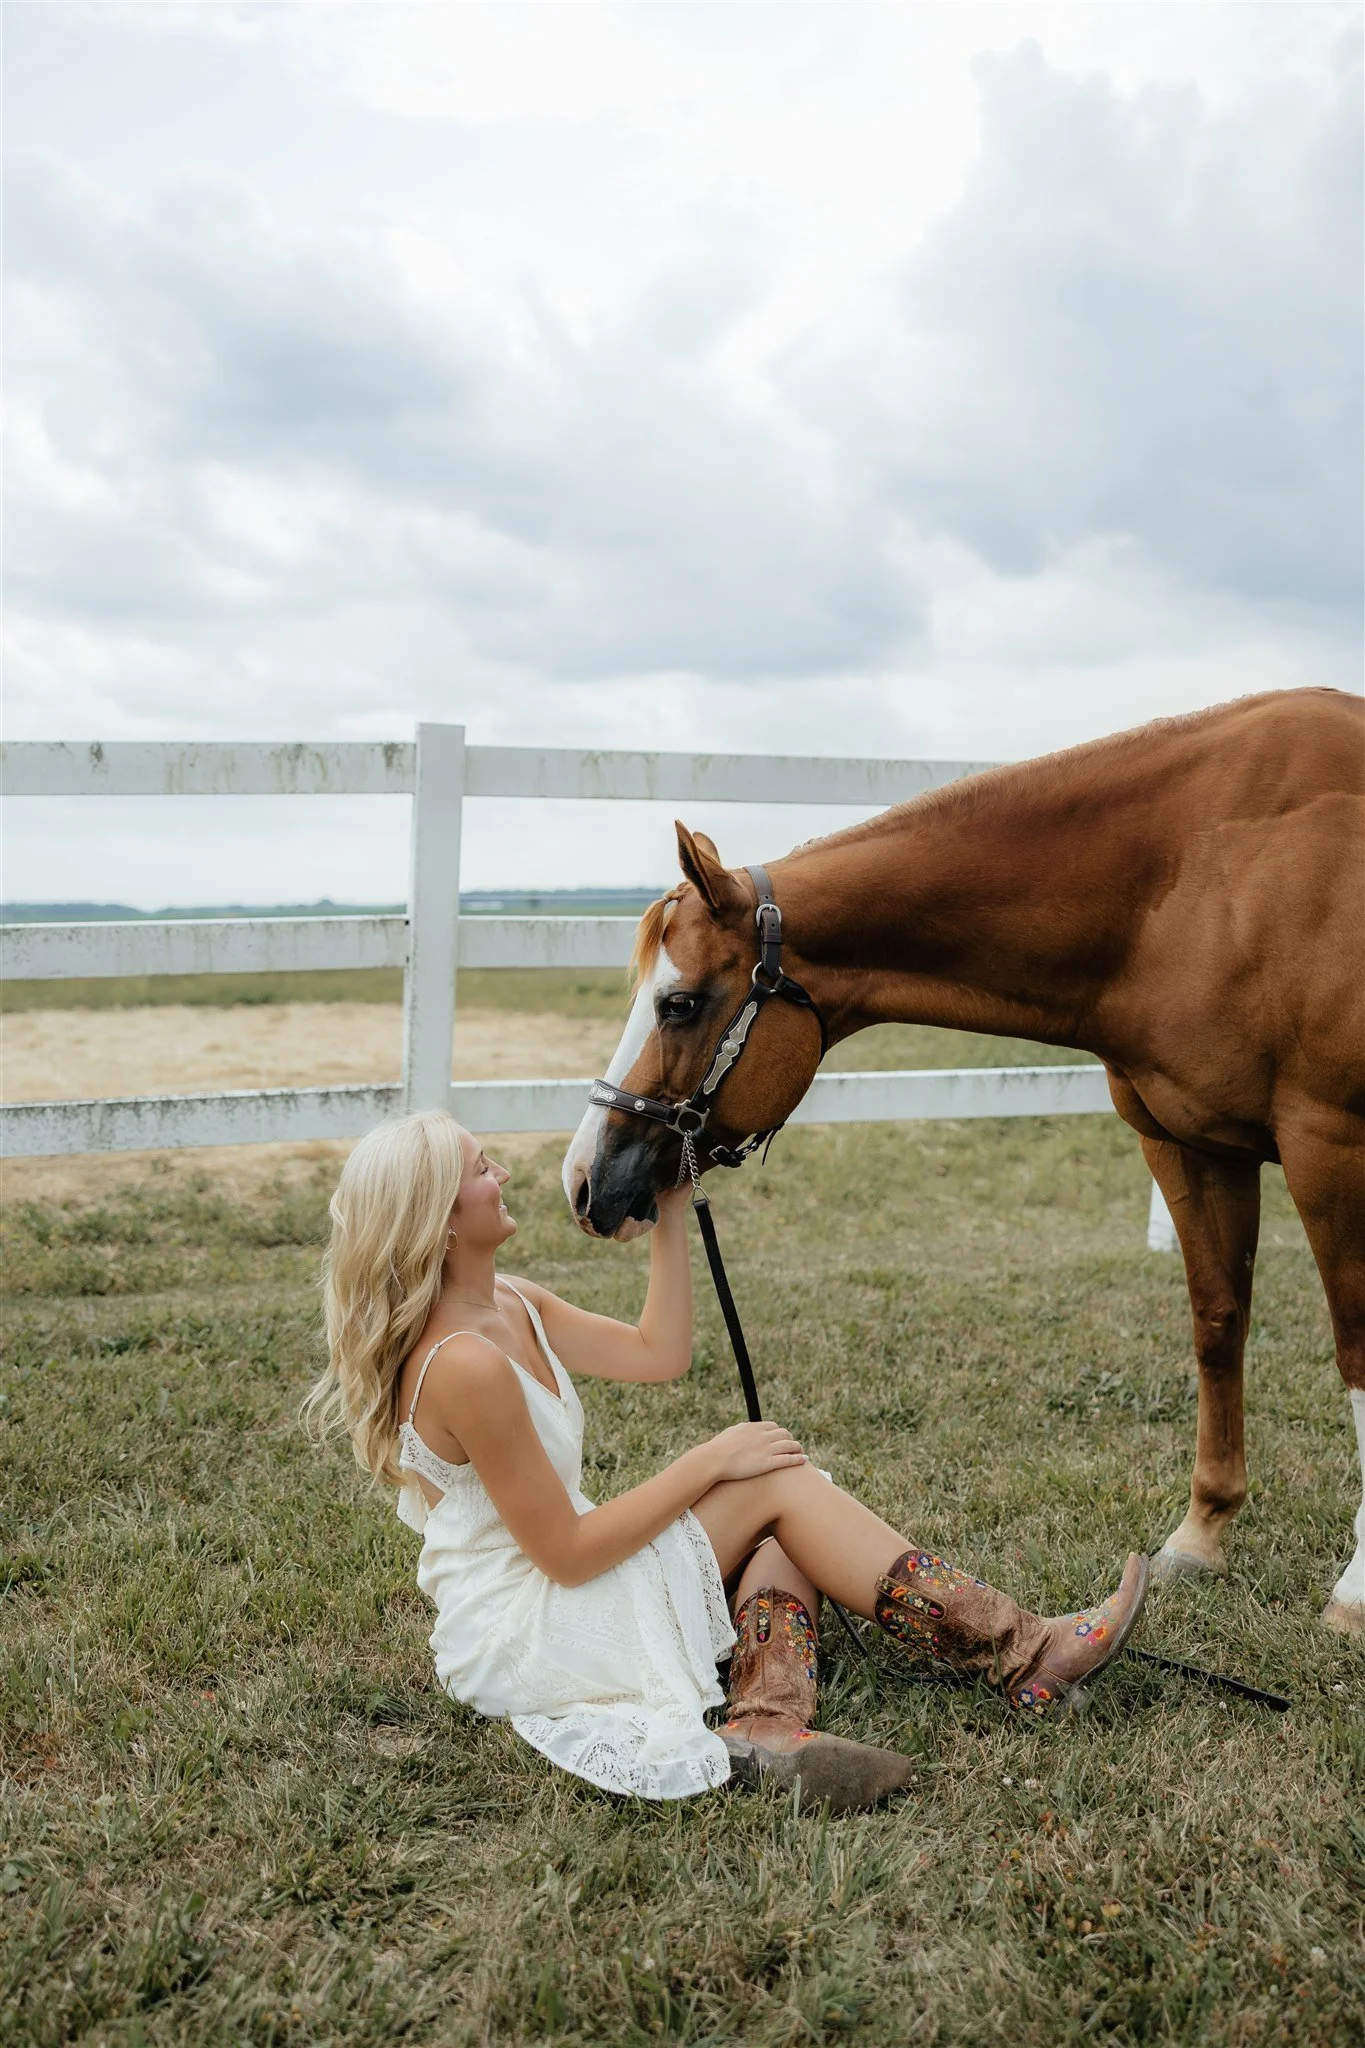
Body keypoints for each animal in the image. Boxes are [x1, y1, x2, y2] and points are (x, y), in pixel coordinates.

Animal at [562, 687, 1365, 1633]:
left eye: (679, 1003)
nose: (583, 1180)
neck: (1212, 870)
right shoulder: (1186, 1144)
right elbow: (1217, 1327)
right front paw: (1199, 1538)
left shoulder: (1328, 1147)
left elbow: (1354, 1349)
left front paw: (1353, 1594)